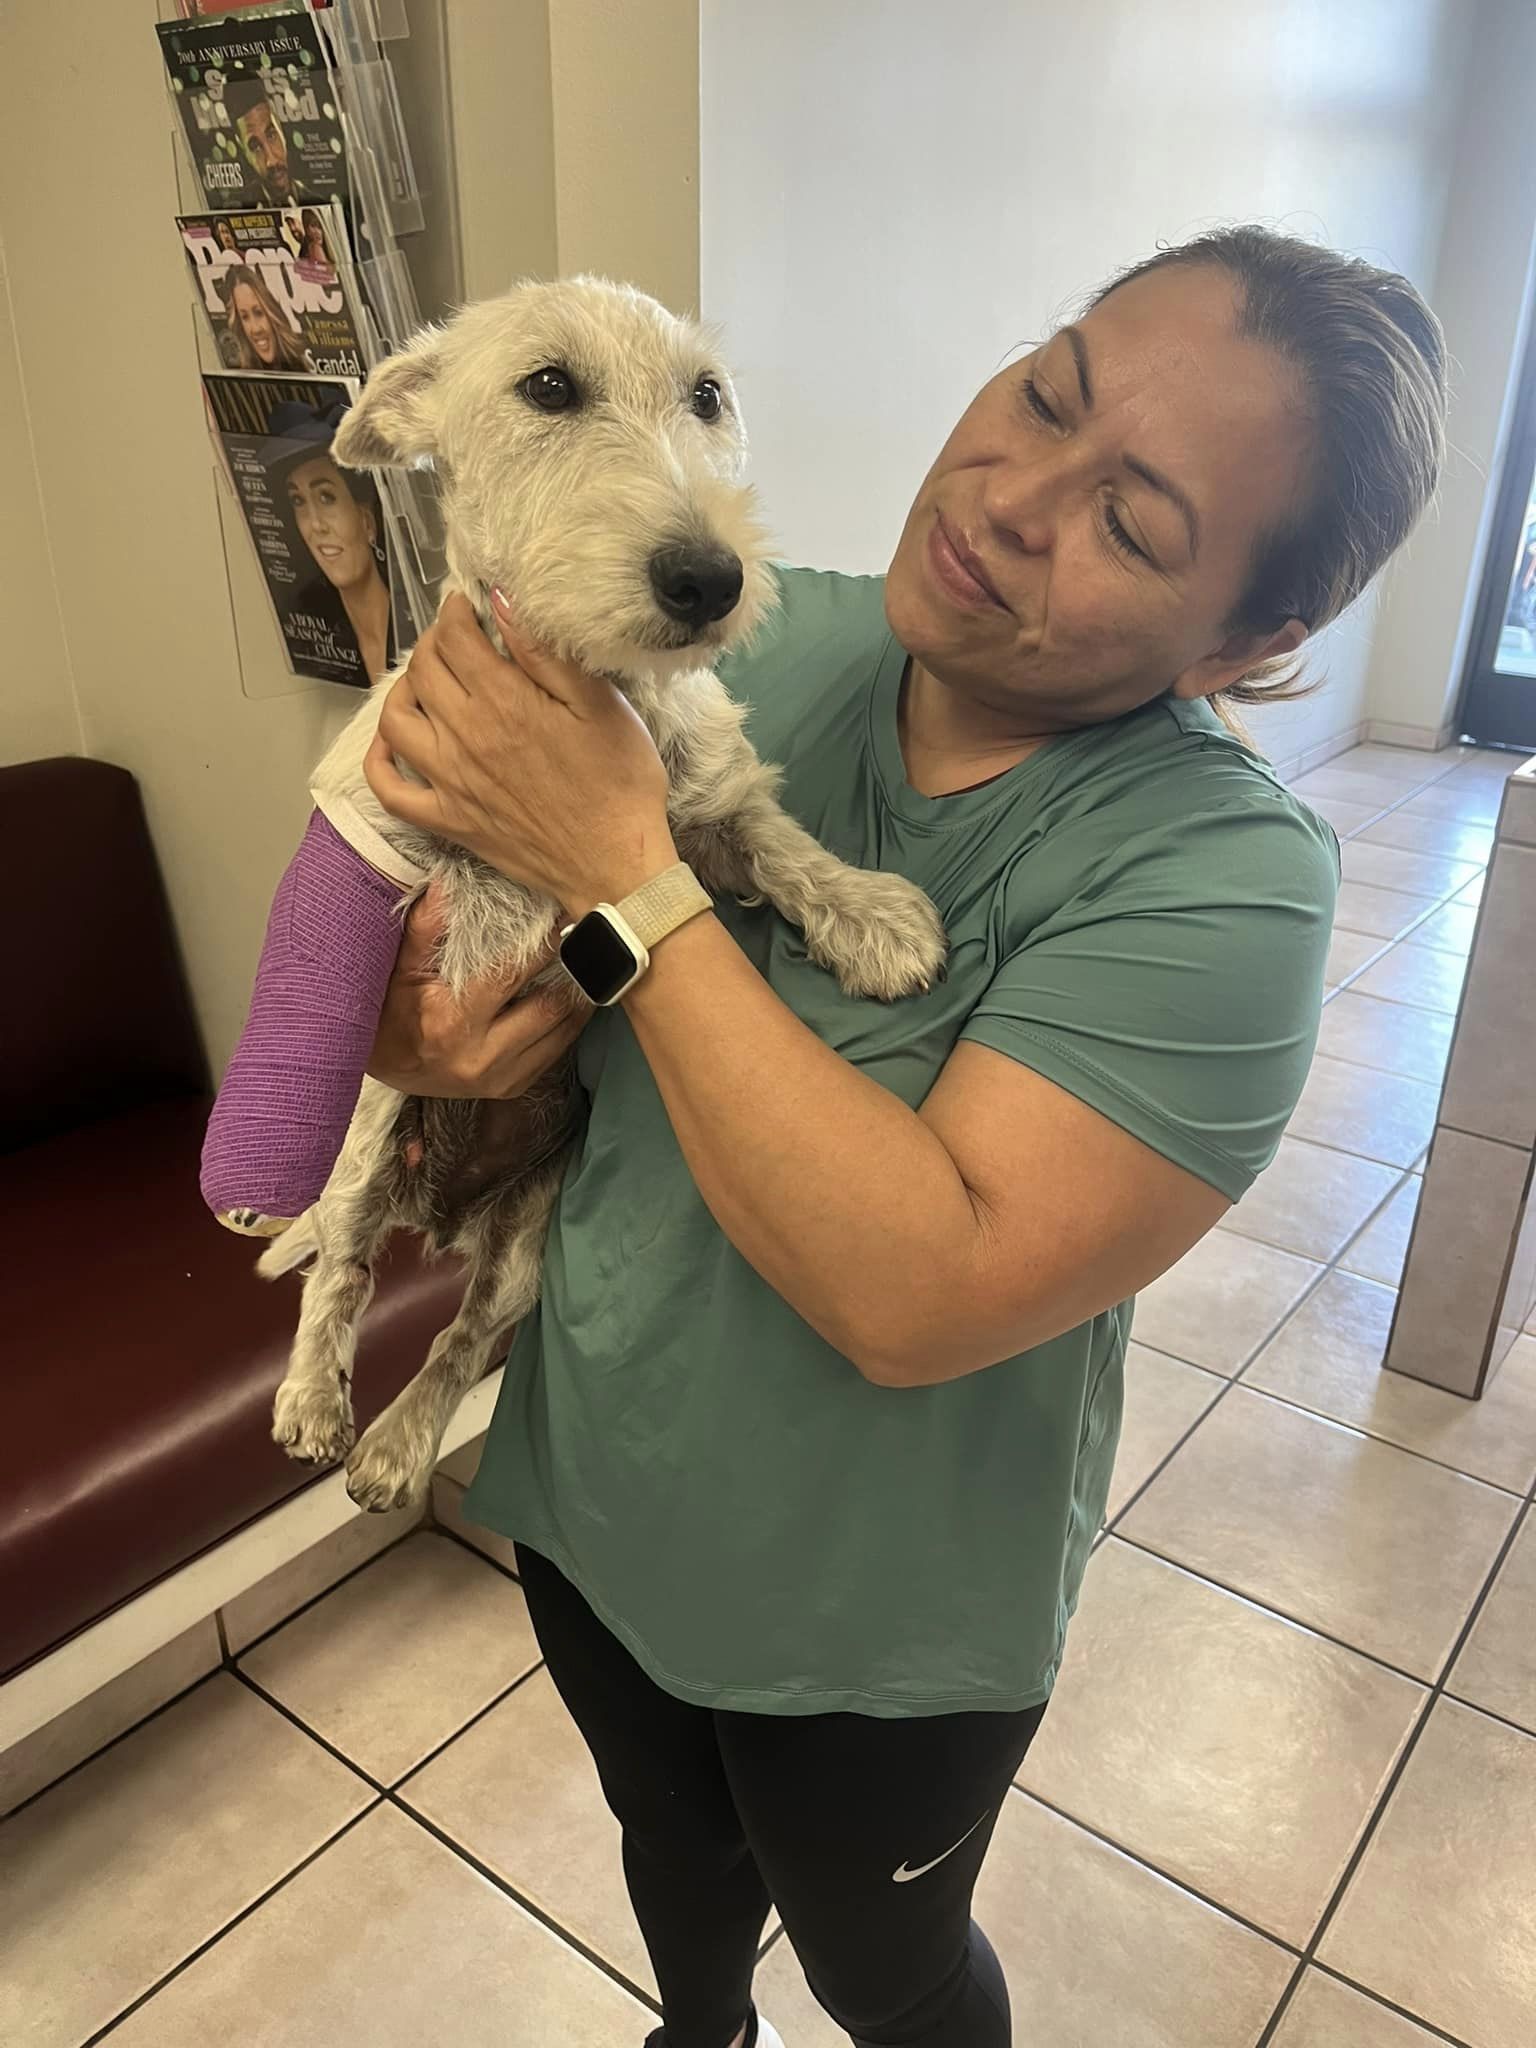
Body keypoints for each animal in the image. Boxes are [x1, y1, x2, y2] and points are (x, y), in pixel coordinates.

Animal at [262, 280, 950, 1515]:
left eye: (708, 396)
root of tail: (438, 1213)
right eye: (548, 386)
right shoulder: (382, 825)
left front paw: (871, 915)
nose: (710, 577)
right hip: (369, 1146)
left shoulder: (707, 805)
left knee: (457, 1339)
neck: (596, 684)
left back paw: (396, 1443)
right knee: (337, 1267)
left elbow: (779, 841)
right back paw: (314, 1398)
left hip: (528, 1237)